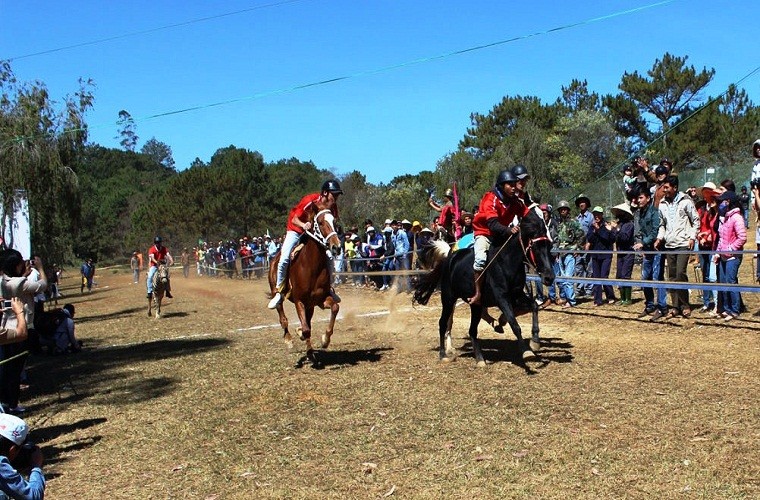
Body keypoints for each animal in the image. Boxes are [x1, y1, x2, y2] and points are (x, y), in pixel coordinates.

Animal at [412, 208, 556, 368]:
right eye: (535, 247)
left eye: (549, 246)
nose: (549, 277)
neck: (505, 263)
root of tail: (449, 258)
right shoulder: (502, 298)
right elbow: (514, 323)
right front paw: (527, 352)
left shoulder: (517, 296)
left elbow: (534, 306)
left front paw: (535, 341)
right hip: (449, 299)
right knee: (444, 323)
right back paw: (444, 354)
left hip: (475, 305)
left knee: (472, 330)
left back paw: (480, 358)